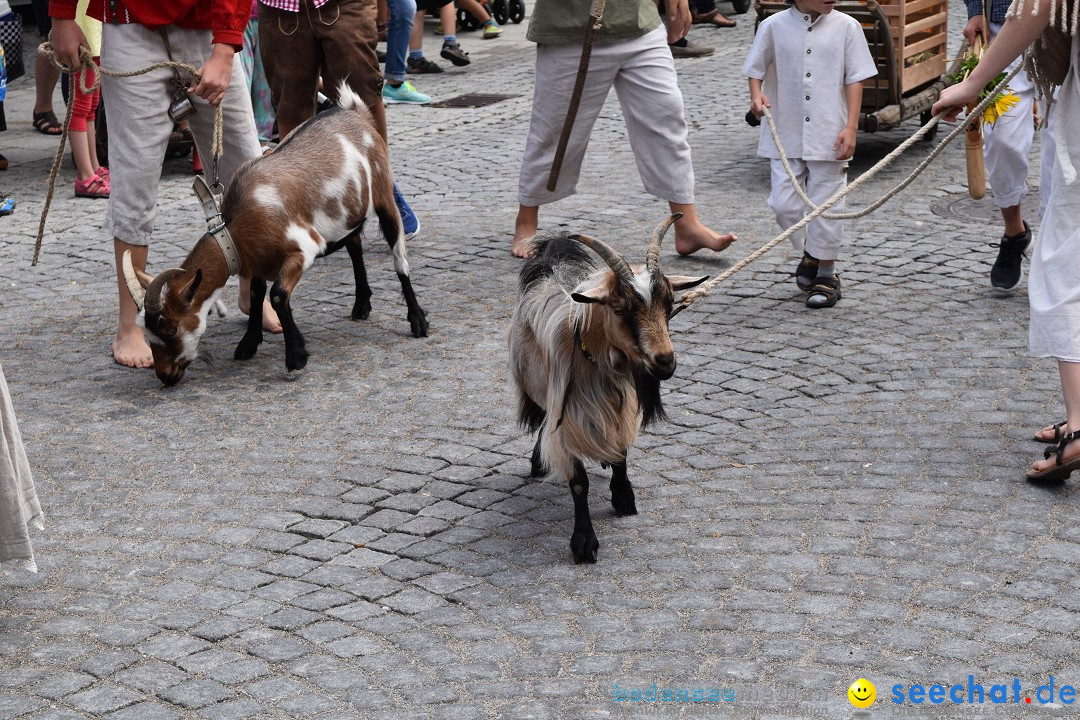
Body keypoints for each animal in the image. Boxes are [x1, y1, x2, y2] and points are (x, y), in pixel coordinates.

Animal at [124, 83, 427, 386]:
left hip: (383, 193)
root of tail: (355, 113)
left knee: (400, 259)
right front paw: (248, 343)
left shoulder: (302, 249)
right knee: (354, 245)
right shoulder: (257, 261)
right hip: (348, 213)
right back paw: (362, 305)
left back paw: (417, 321)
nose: (165, 376)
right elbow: (257, 294)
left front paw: (296, 357)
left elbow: (278, 295)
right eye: (147, 332)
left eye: (171, 328)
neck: (234, 234)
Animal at [507, 216, 708, 565]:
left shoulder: (620, 406)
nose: (665, 361)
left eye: (669, 303)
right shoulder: (568, 417)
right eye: (620, 308)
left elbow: (621, 452)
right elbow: (578, 482)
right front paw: (584, 542)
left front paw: (624, 497)